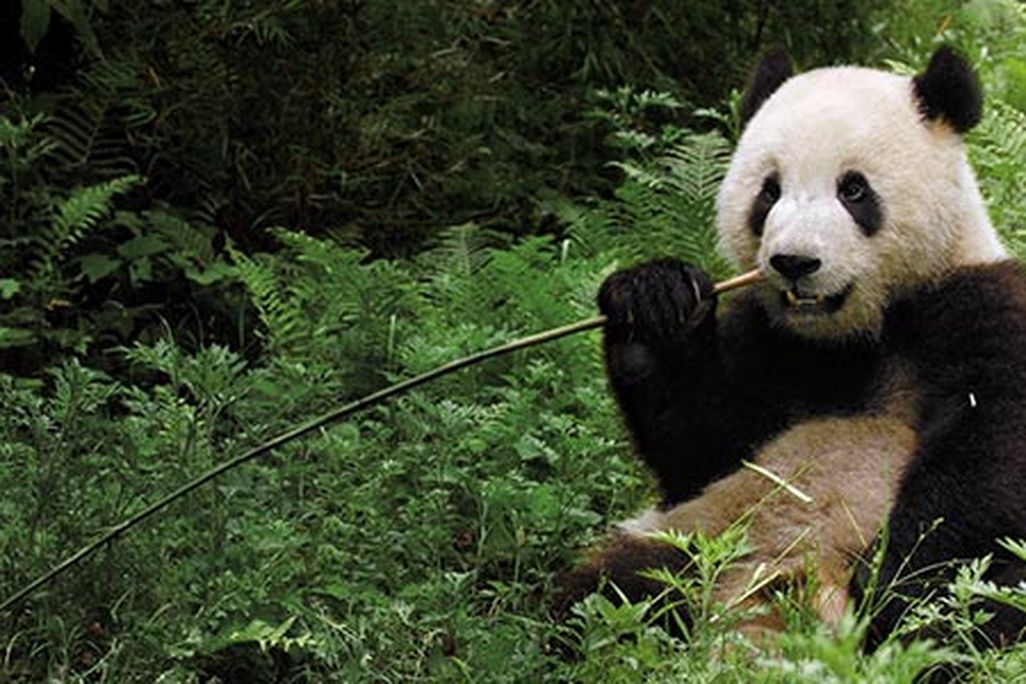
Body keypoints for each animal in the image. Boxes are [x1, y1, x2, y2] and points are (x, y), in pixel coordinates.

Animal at [558, 46, 1026, 649]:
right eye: (769, 191)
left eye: (853, 190)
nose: (794, 262)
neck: (855, 335)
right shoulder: (768, 341)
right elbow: (703, 450)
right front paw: (653, 304)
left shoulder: (980, 308)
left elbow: (988, 459)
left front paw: (892, 585)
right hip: (696, 538)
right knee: (605, 594)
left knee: (992, 599)